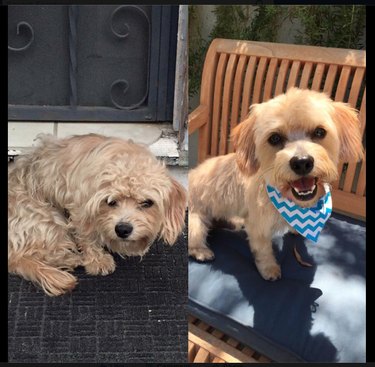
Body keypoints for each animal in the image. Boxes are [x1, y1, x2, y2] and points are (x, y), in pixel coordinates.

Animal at [7, 134, 187, 298]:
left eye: (147, 203)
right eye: (111, 202)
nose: (122, 230)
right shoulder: (80, 209)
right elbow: (88, 237)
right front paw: (97, 261)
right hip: (49, 218)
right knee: (30, 255)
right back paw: (72, 259)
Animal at [189, 87, 366, 280]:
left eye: (319, 132)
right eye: (274, 138)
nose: (302, 162)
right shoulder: (258, 226)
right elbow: (263, 249)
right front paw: (269, 268)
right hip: (196, 219)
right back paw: (200, 251)